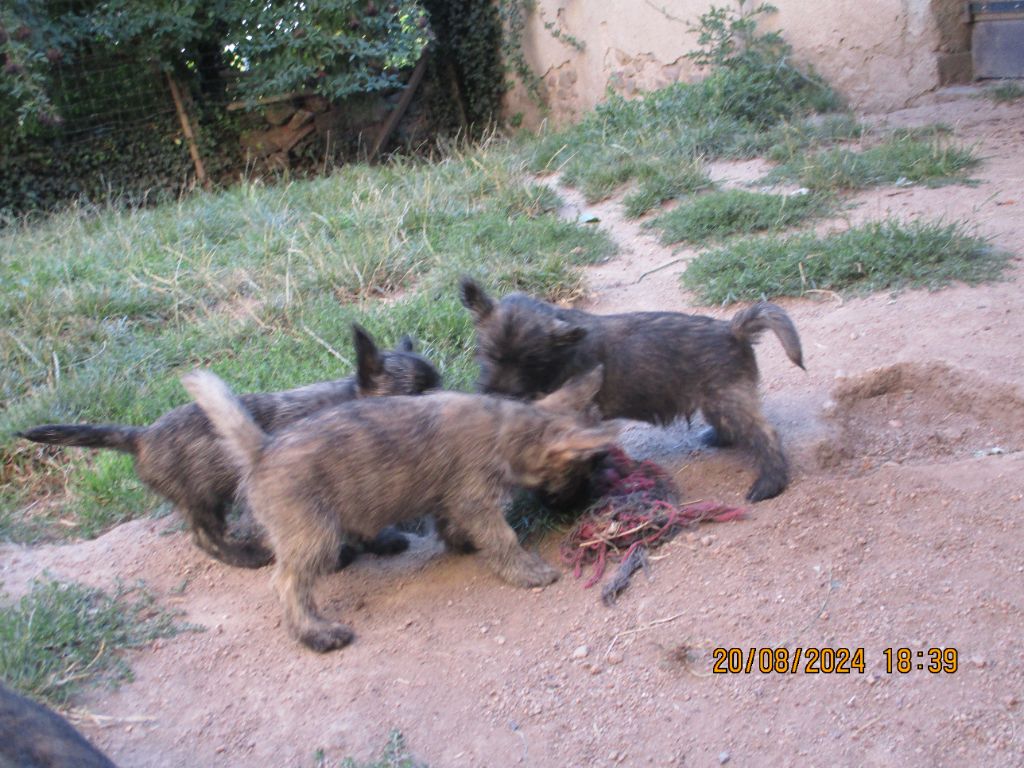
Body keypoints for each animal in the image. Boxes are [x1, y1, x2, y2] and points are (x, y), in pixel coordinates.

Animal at [17, 321, 440, 569]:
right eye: (417, 394)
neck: (352, 401)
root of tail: (141, 436)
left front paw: (377, 543)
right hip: (204, 500)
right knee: (206, 538)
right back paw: (247, 556)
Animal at [460, 280, 802, 501]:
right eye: (489, 354)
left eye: (531, 362)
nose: (498, 394)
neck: (562, 353)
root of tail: (734, 330)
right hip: (719, 400)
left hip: (726, 400)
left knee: (766, 435)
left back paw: (769, 483)